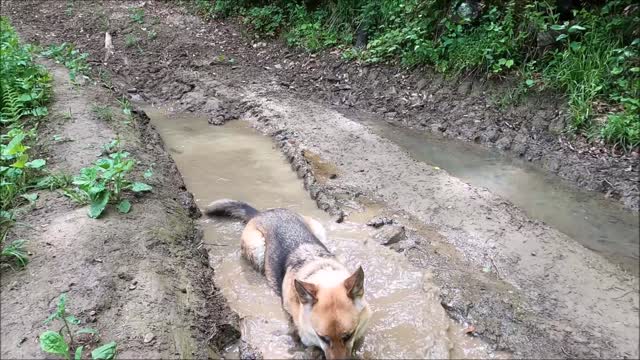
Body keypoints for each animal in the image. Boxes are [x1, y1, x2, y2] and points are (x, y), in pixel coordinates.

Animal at [205, 200, 370, 360]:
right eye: (323, 338)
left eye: (348, 336)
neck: (323, 275)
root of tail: (263, 213)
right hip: (257, 249)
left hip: (318, 229)